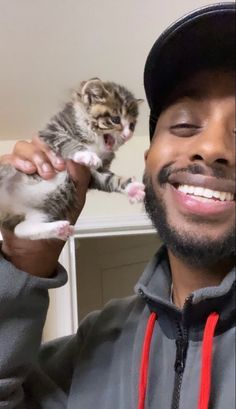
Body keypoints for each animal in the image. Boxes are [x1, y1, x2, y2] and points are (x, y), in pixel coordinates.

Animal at [0, 77, 145, 239]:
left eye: (132, 125)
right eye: (115, 119)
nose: (128, 135)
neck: (94, 141)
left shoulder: (93, 174)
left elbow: (109, 179)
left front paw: (132, 189)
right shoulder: (50, 131)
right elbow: (66, 141)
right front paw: (86, 154)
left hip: (38, 213)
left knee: (21, 229)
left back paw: (59, 228)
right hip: (9, 169)